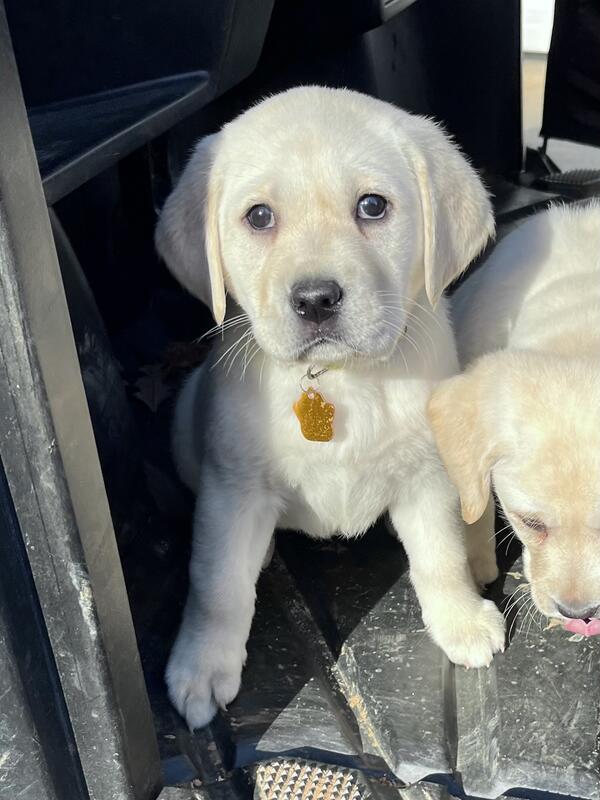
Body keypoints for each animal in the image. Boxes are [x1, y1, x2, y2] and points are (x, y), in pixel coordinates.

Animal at [155, 86, 504, 729]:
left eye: (372, 206)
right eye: (259, 217)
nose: (316, 299)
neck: (338, 381)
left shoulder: (428, 477)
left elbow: (441, 556)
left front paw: (461, 619)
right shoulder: (233, 487)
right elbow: (217, 584)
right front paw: (202, 665)